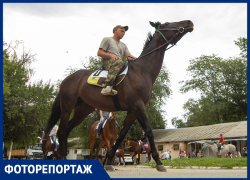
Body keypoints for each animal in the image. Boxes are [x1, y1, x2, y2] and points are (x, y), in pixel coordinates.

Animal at [44, 20, 194, 172]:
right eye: (168, 23)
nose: (189, 22)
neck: (142, 71)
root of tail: (67, 79)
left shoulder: (132, 110)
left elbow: (122, 135)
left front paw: (110, 159)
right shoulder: (138, 106)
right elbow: (148, 130)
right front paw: (158, 161)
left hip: (83, 110)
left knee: (67, 130)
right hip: (67, 106)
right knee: (62, 131)